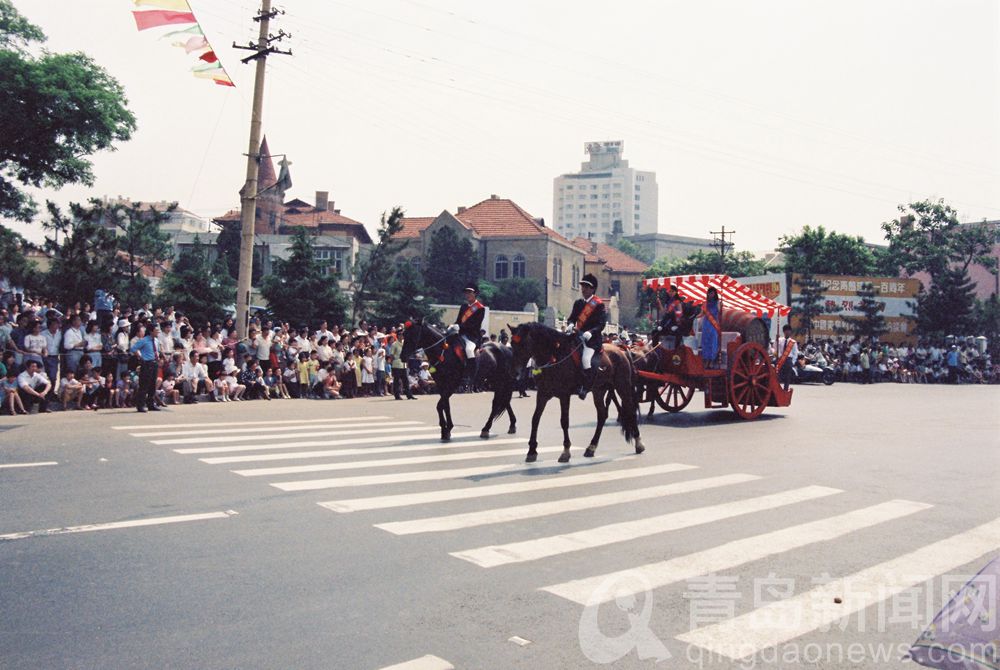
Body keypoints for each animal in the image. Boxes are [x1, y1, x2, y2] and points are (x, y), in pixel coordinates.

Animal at [512, 324, 644, 462]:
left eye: (523, 344)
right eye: (512, 343)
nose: (515, 372)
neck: (555, 356)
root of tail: (621, 350)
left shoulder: (564, 395)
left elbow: (564, 421)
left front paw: (565, 451)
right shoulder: (542, 394)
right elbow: (535, 419)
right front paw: (532, 451)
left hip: (622, 387)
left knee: (630, 411)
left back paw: (638, 443)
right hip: (599, 390)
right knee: (602, 415)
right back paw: (591, 447)